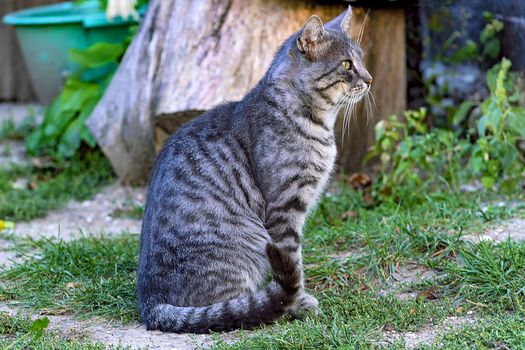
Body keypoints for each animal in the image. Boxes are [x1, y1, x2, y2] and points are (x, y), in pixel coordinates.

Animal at [137, 6, 370, 334]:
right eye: (347, 64)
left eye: (361, 59)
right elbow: (294, 261)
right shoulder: (285, 208)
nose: (370, 79)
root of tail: (150, 303)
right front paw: (297, 303)